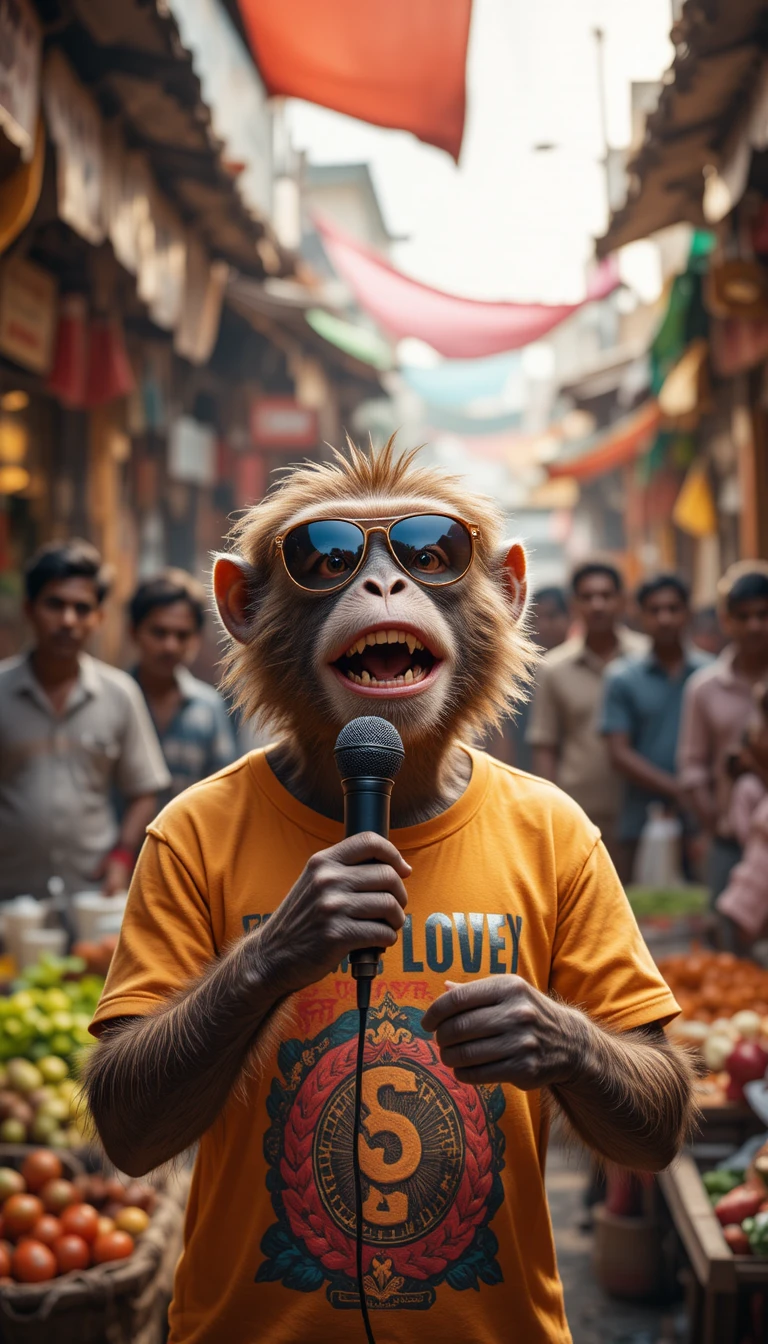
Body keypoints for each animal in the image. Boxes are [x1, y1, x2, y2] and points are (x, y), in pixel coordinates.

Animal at [84, 437, 696, 1344]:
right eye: (326, 558)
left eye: (429, 553)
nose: (381, 583)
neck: (396, 795)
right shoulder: (162, 841)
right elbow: (125, 1094)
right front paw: (317, 916)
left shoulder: (587, 844)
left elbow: (654, 1083)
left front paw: (517, 1025)